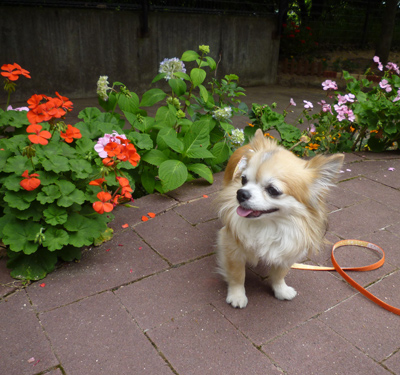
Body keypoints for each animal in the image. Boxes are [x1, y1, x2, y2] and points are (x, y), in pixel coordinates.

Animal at [216, 129, 344, 308]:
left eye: (273, 190)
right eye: (243, 180)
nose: (241, 193)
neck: (269, 225)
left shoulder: (288, 249)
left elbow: (279, 274)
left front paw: (281, 290)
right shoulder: (232, 247)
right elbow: (237, 274)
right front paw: (237, 296)